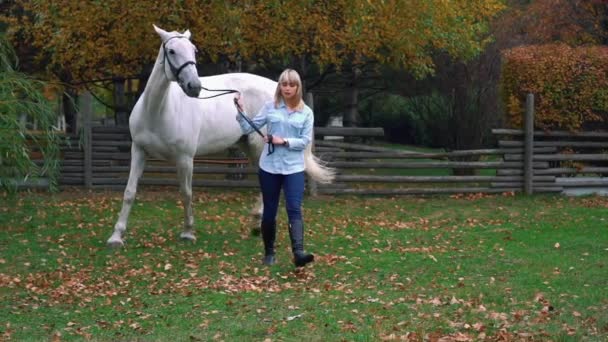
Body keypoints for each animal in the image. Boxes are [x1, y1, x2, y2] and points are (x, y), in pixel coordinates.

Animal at [108, 25, 334, 247]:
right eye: (171, 51)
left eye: (193, 50)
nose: (194, 86)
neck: (158, 111)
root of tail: (278, 89)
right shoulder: (138, 151)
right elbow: (129, 192)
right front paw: (116, 236)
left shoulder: (185, 158)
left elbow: (186, 193)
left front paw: (188, 232)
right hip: (250, 147)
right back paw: (256, 223)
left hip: (261, 147)